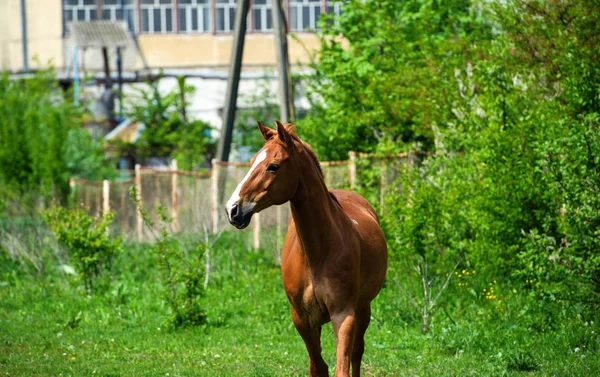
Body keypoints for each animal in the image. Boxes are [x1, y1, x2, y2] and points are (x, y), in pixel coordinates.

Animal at [225, 120, 390, 376]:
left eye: (273, 166)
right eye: (251, 161)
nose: (233, 209)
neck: (317, 253)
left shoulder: (344, 314)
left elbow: (342, 366)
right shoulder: (302, 319)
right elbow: (317, 366)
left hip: (364, 308)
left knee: (357, 353)